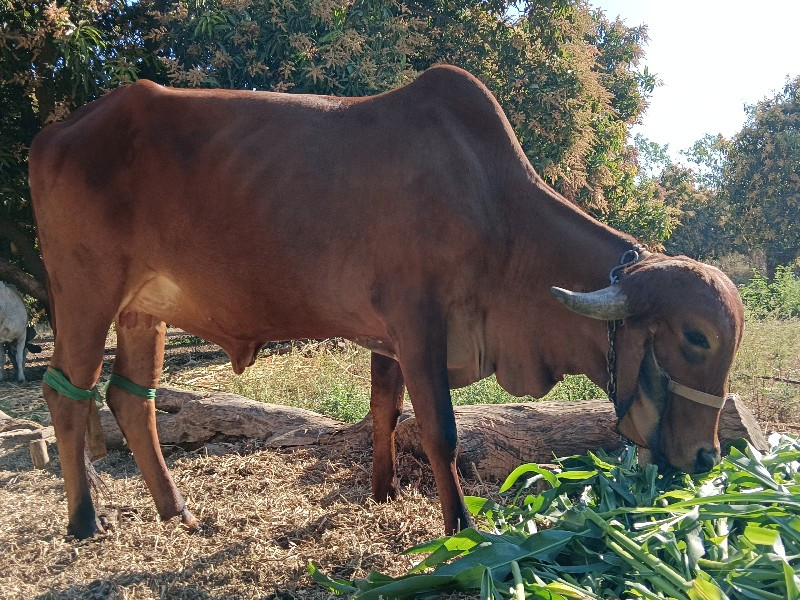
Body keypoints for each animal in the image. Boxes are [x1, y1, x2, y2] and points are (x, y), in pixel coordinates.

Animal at [29, 65, 744, 540]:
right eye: (696, 337)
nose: (707, 458)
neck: (496, 211)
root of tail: (55, 133)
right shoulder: (417, 323)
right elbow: (439, 431)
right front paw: (461, 529)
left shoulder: (389, 339)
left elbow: (384, 412)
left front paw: (384, 492)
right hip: (86, 295)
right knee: (65, 393)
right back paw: (84, 521)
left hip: (143, 311)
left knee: (130, 399)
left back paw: (177, 510)